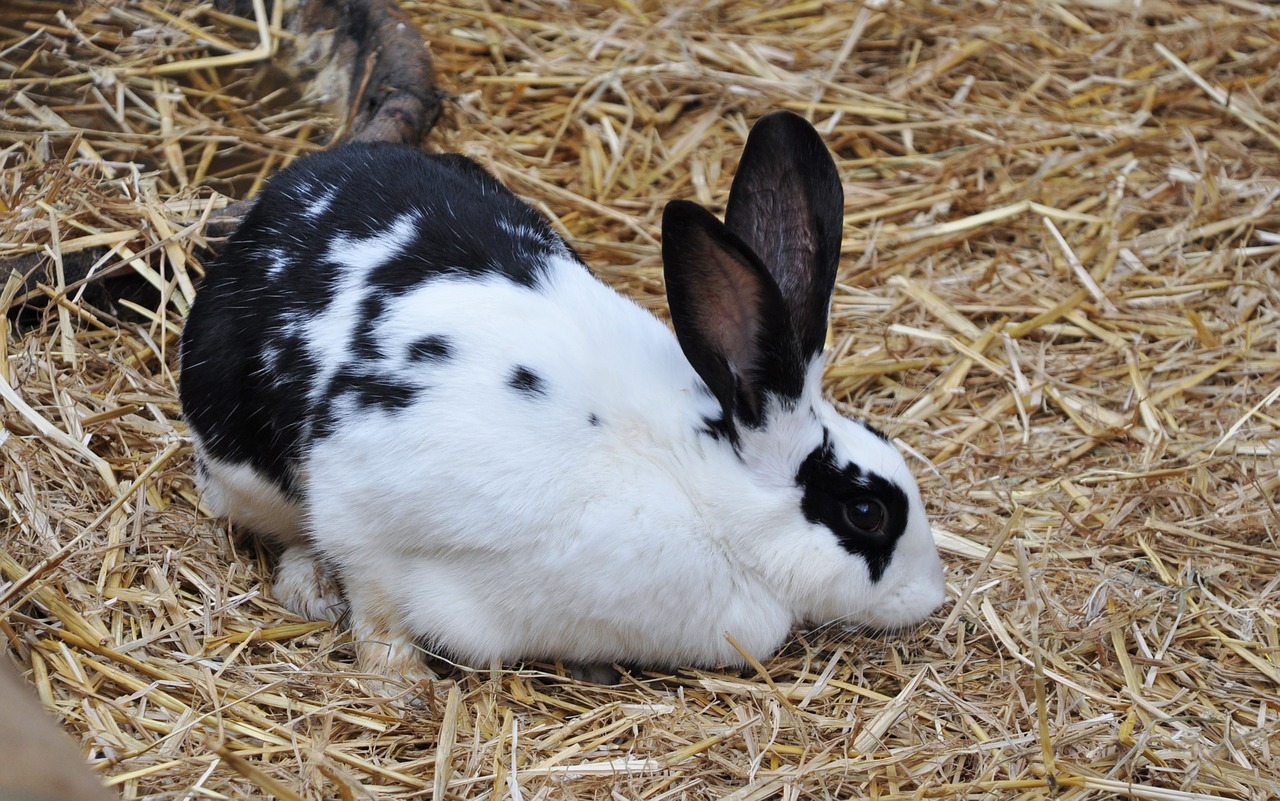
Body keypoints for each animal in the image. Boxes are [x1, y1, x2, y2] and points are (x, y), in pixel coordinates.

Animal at [180, 109, 947, 680]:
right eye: (867, 512)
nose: (932, 598)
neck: (696, 486)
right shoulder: (363, 508)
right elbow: (378, 606)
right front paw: (400, 684)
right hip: (247, 472)